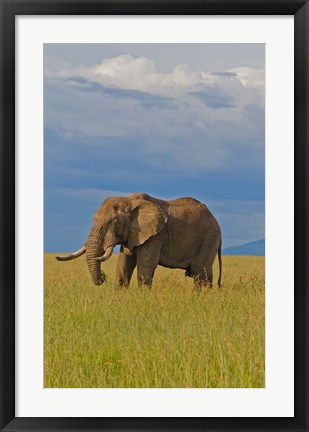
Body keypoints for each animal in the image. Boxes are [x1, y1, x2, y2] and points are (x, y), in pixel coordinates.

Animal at [56, 193, 221, 288]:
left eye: (114, 221)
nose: (103, 277)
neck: (129, 201)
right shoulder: (132, 233)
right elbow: (124, 264)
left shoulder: (155, 235)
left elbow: (146, 265)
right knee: (206, 274)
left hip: (208, 238)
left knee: (200, 273)